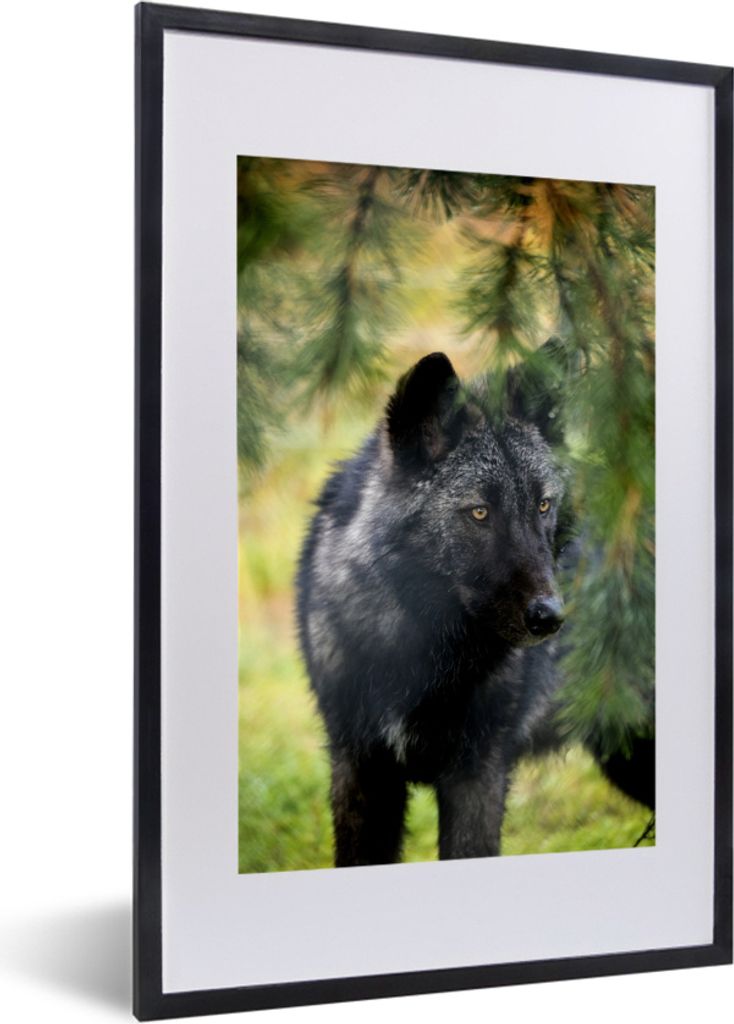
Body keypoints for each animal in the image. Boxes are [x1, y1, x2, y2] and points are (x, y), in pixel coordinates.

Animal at [296, 351, 574, 866]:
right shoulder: (360, 769)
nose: (550, 616)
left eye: (543, 505)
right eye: (480, 512)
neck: (419, 657)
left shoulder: (478, 775)